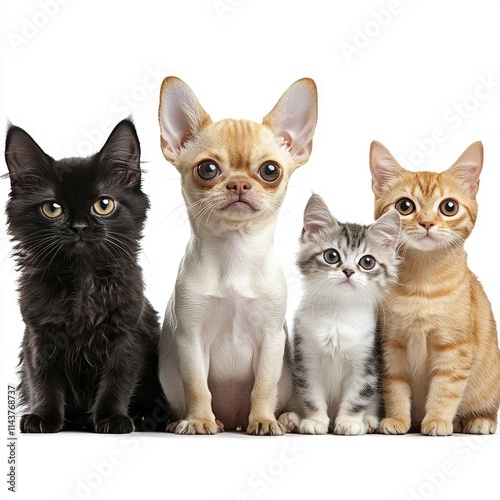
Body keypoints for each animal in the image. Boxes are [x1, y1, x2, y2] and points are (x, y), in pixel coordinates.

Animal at [4, 119, 170, 432]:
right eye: (52, 209)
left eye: (103, 205)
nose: (79, 227)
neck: (83, 282)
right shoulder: (38, 335)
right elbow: (42, 379)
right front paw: (43, 417)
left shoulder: (127, 334)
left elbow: (117, 380)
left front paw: (112, 418)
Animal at [284, 195, 400, 434]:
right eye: (331, 256)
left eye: (367, 262)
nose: (348, 271)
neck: (338, 312)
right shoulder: (306, 360)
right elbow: (311, 395)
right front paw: (316, 421)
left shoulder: (365, 364)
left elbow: (358, 397)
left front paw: (349, 422)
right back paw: (290, 418)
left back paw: (369, 421)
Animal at [370, 140, 500, 434]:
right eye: (405, 206)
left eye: (449, 207)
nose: (427, 223)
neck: (422, 287)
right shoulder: (392, 344)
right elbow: (395, 386)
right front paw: (397, 419)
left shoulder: (455, 348)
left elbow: (445, 388)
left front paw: (439, 420)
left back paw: (477, 420)